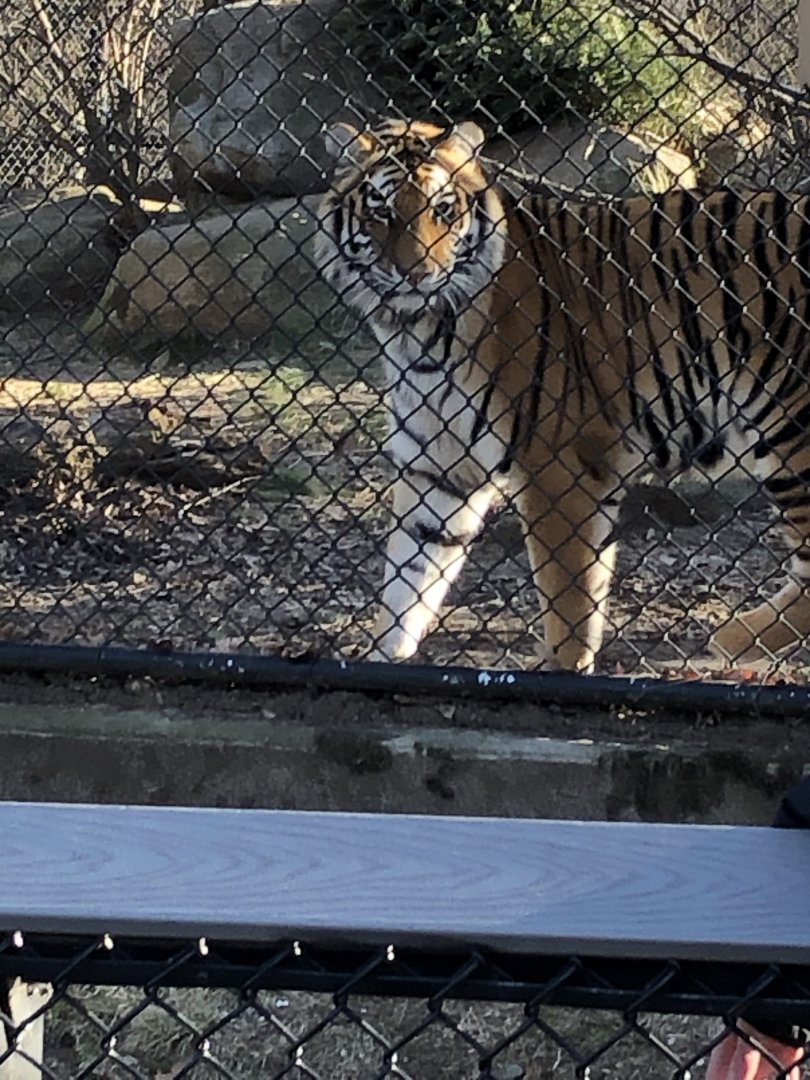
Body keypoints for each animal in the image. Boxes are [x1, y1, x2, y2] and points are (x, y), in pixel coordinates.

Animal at [315, 116, 810, 673]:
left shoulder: (558, 465)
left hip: (790, 426)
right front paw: (384, 659)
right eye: (381, 211)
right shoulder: (438, 466)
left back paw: (730, 638)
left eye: (442, 209)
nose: (416, 274)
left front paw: (566, 670)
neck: (416, 331)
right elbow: (409, 579)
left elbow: (567, 598)